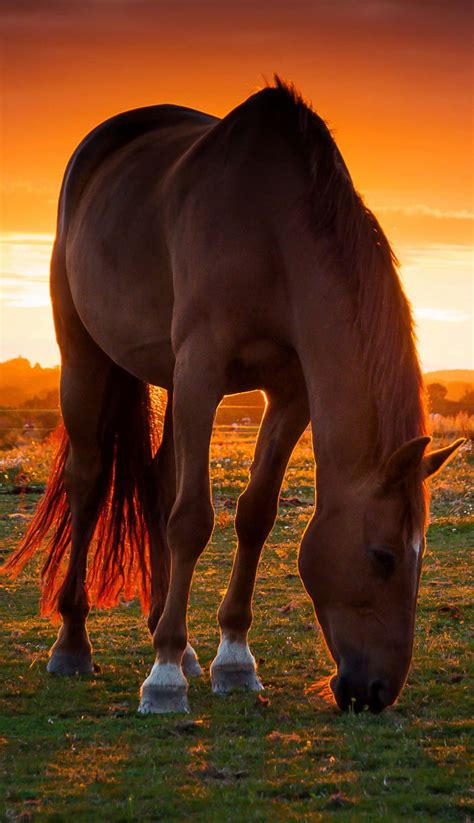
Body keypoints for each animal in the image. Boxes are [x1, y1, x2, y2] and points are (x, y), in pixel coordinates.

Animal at [3, 77, 464, 715]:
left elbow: (255, 513)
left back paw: (174, 636)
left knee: (158, 479)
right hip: (86, 357)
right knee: (89, 481)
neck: (273, 230)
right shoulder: (203, 369)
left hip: (170, 379)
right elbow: (193, 519)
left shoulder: (289, 392)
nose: (376, 692)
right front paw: (164, 678)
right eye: (383, 557)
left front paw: (233, 660)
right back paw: (75, 645)